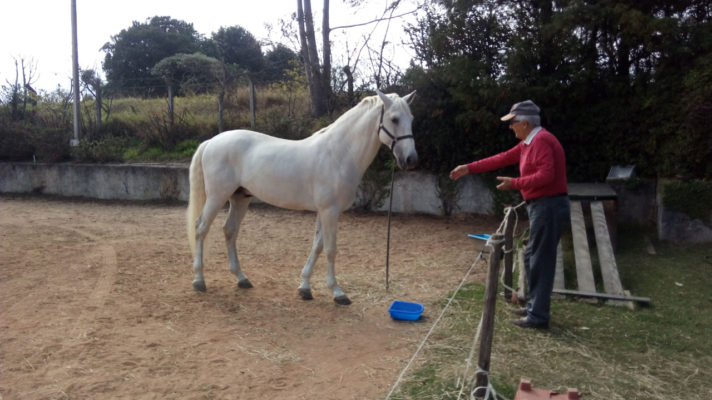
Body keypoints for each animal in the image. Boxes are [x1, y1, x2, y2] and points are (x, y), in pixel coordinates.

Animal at [186, 90, 418, 304]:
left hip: (240, 198)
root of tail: (212, 141)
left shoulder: (325, 212)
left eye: (411, 118)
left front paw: (305, 287)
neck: (338, 154)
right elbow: (330, 250)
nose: (411, 159)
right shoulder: (330, 211)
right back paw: (199, 280)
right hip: (217, 196)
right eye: (394, 119)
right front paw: (337, 292)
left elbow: (317, 246)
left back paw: (241, 278)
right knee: (201, 228)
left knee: (230, 230)